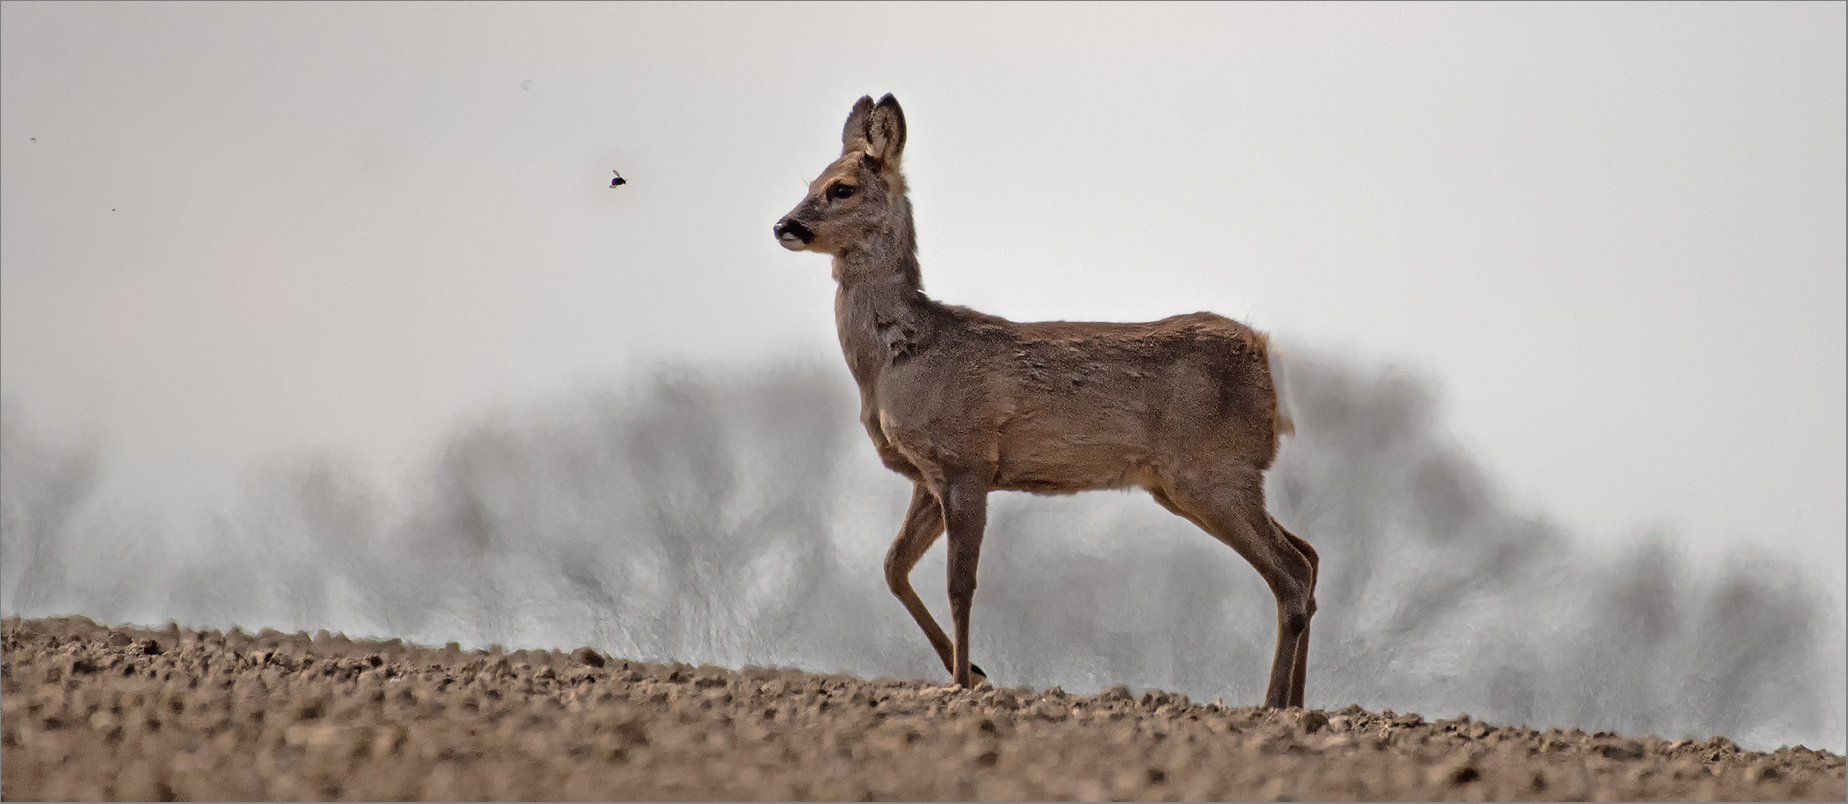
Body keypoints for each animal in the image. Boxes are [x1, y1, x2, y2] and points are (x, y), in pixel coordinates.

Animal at [772, 96, 1323, 709]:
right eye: (811, 180)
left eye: (840, 188)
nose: (783, 226)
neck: (899, 359)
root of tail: (1268, 361)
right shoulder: (926, 474)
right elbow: (893, 567)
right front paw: (974, 672)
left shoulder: (965, 460)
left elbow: (959, 583)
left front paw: (964, 682)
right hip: (1193, 481)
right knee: (1309, 555)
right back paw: (1296, 702)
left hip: (1211, 470)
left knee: (1291, 573)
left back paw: (1273, 705)